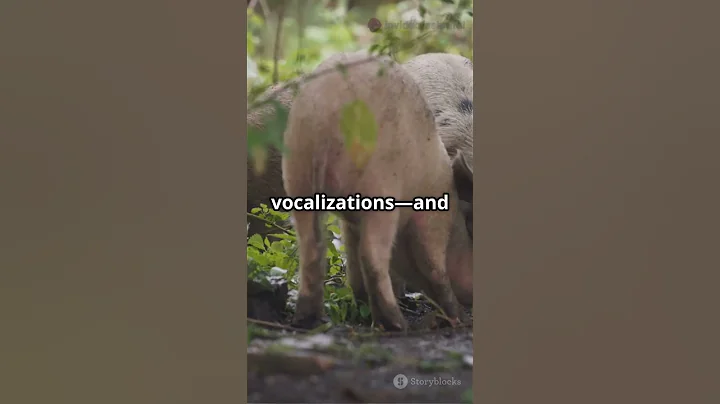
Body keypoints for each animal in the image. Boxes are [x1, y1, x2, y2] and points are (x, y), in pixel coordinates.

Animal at [282, 51, 474, 331]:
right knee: (371, 254)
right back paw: (397, 324)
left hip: (298, 166)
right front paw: (455, 319)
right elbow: (435, 267)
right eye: (470, 233)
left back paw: (309, 321)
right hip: (379, 184)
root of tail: (330, 110)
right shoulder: (432, 218)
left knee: (311, 245)